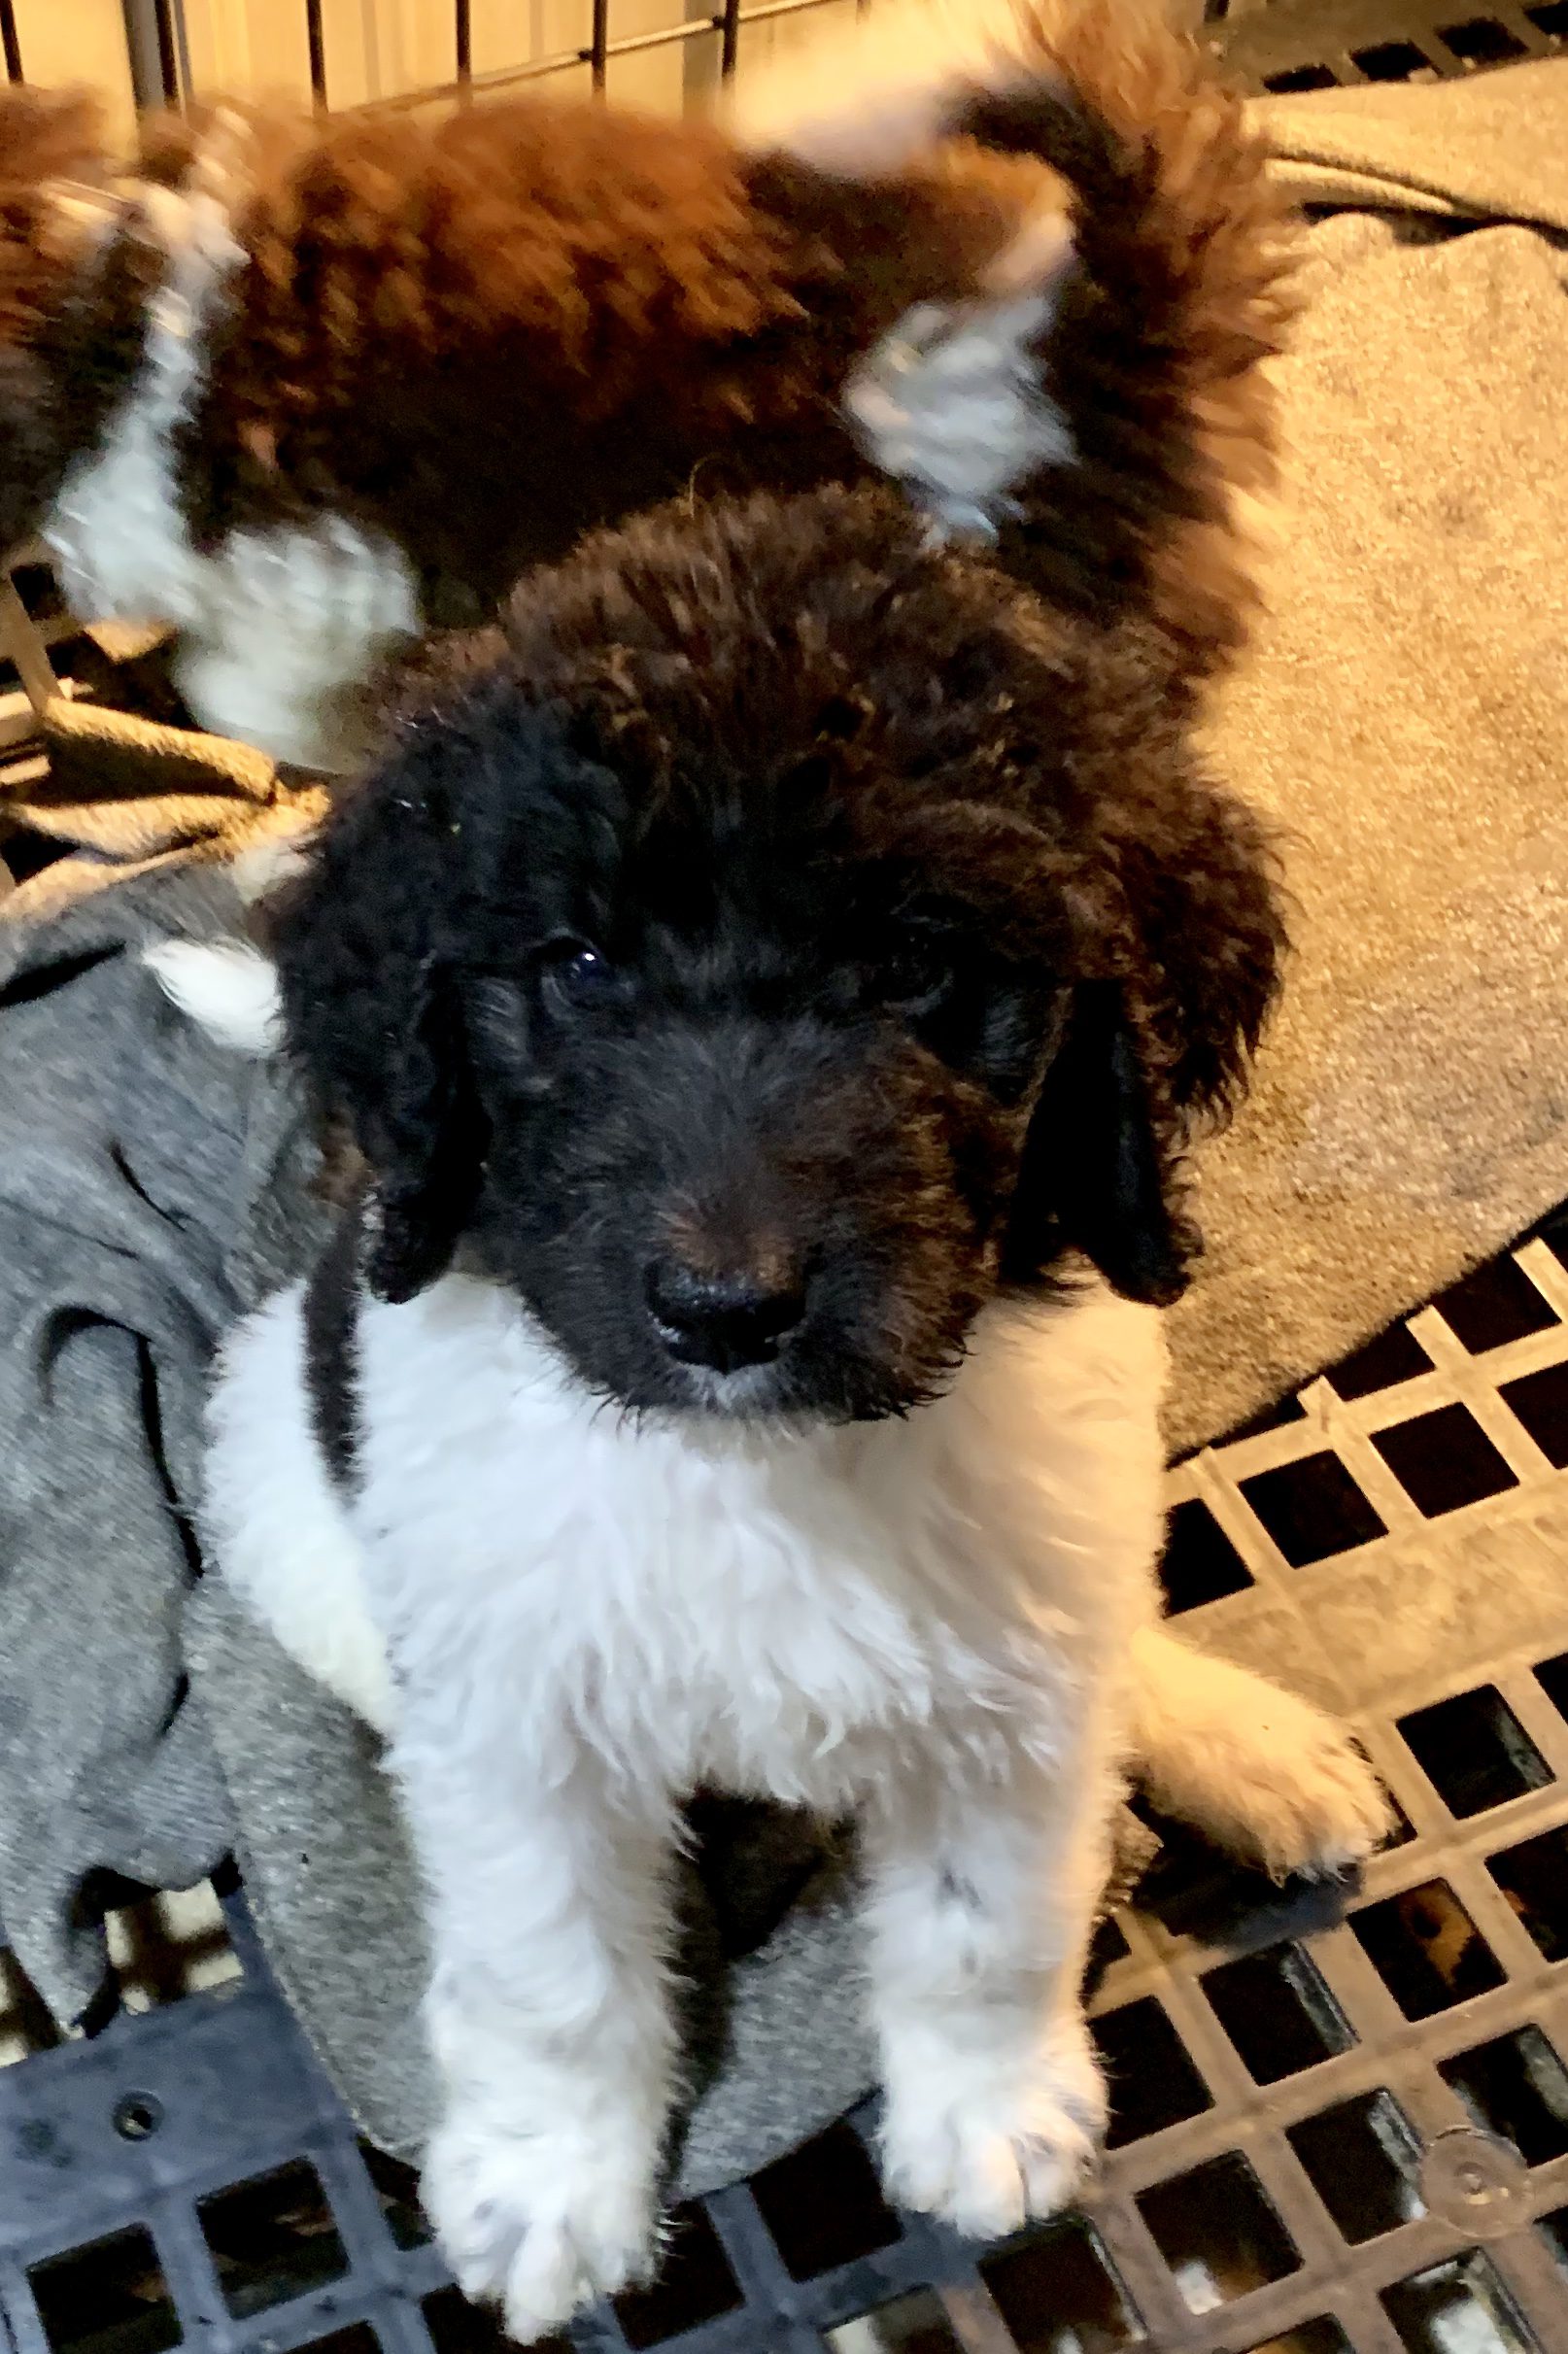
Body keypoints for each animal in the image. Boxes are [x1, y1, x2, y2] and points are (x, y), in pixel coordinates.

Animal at [154, 487, 1383, 2344]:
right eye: (577, 964)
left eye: (916, 967)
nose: (724, 1309)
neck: (756, 1464)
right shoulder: (512, 1723)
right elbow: (549, 1971)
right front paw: (548, 2185)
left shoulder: (1008, 1703)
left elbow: (983, 1925)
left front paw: (989, 2114)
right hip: (297, 1506)